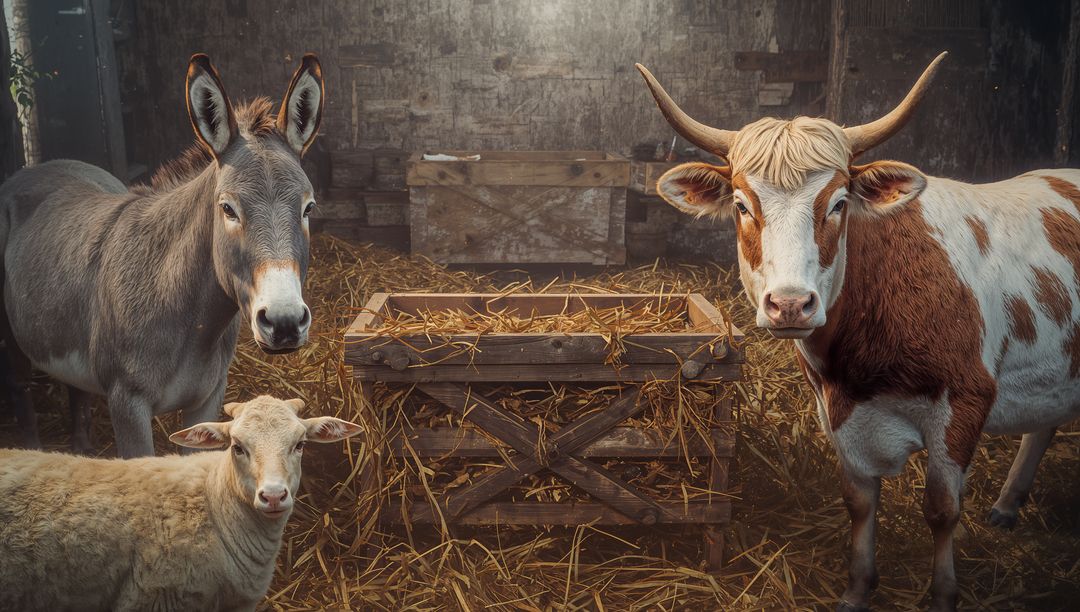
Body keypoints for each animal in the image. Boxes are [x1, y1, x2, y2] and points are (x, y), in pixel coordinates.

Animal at [636, 51, 1080, 611]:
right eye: (741, 205)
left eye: (839, 203)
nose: (790, 304)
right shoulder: (837, 412)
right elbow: (858, 502)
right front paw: (857, 587)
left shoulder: (965, 402)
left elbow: (941, 509)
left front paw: (943, 593)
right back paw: (1006, 503)